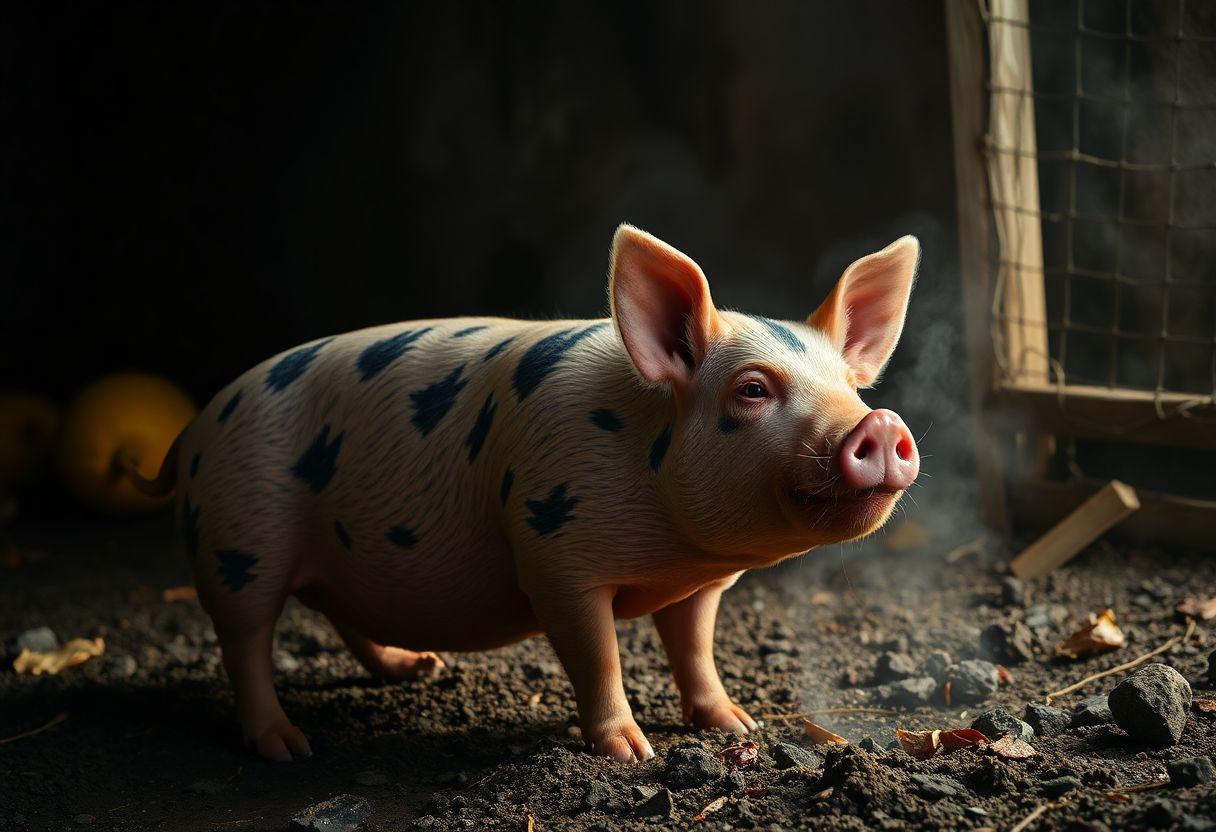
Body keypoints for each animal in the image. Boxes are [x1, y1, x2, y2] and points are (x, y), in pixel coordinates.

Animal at [129, 225, 921, 763]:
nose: (879, 422)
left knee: (337, 612)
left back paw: (417, 667)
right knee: (244, 642)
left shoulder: (698, 585)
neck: (667, 553)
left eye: (851, 387)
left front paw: (738, 723)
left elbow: (694, 648)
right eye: (753, 389)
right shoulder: (553, 557)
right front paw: (633, 755)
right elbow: (597, 656)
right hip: (239, 538)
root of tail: (195, 429)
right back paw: (289, 746)